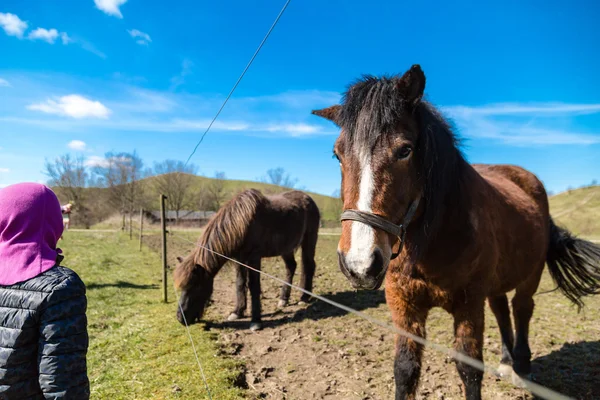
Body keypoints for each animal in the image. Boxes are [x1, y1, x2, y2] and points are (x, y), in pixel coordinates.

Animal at [173, 189, 322, 330]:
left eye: (196, 286)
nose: (181, 318)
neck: (242, 222)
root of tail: (309, 199)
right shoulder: (239, 259)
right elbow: (240, 283)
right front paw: (237, 312)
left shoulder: (254, 258)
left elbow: (254, 286)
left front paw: (256, 321)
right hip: (286, 248)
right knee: (291, 267)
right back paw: (284, 299)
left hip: (309, 240)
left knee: (308, 266)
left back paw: (304, 297)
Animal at [312, 64, 600, 398]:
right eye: (337, 154)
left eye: (405, 150)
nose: (359, 264)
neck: (431, 242)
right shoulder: (403, 304)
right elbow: (405, 369)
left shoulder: (468, 304)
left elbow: (469, 369)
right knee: (502, 309)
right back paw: (506, 363)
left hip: (531, 274)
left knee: (521, 308)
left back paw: (522, 367)